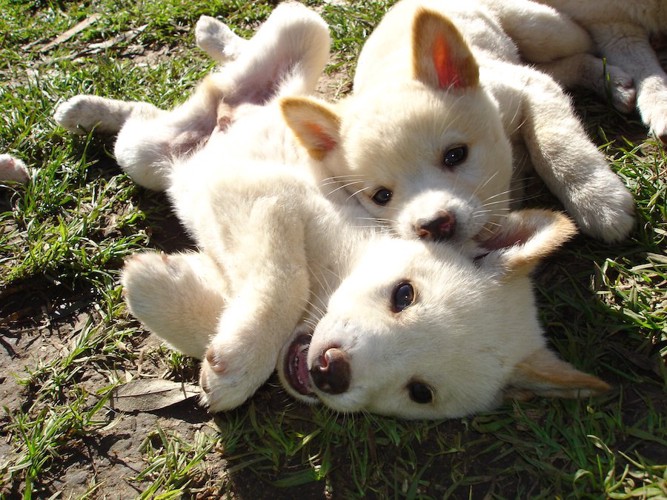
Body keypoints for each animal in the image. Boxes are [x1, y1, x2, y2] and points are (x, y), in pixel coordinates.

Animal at [282, 0, 636, 244]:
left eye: (455, 155)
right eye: (381, 196)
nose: (434, 225)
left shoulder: (532, 87)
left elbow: (556, 146)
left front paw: (597, 199)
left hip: (543, 29)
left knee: (583, 44)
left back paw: (615, 79)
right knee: (567, 65)